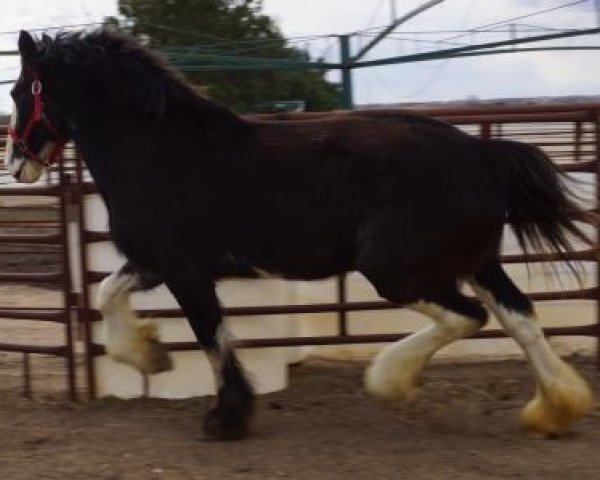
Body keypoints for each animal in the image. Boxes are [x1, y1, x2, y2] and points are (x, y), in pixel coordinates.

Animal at [5, 30, 596, 440]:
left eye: (16, 91)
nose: (17, 165)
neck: (160, 151)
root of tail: (479, 152)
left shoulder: (185, 271)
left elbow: (212, 336)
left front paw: (227, 417)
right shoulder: (153, 263)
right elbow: (108, 294)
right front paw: (149, 357)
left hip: (398, 271)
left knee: (467, 316)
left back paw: (391, 379)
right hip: (477, 262)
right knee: (520, 318)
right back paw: (555, 411)